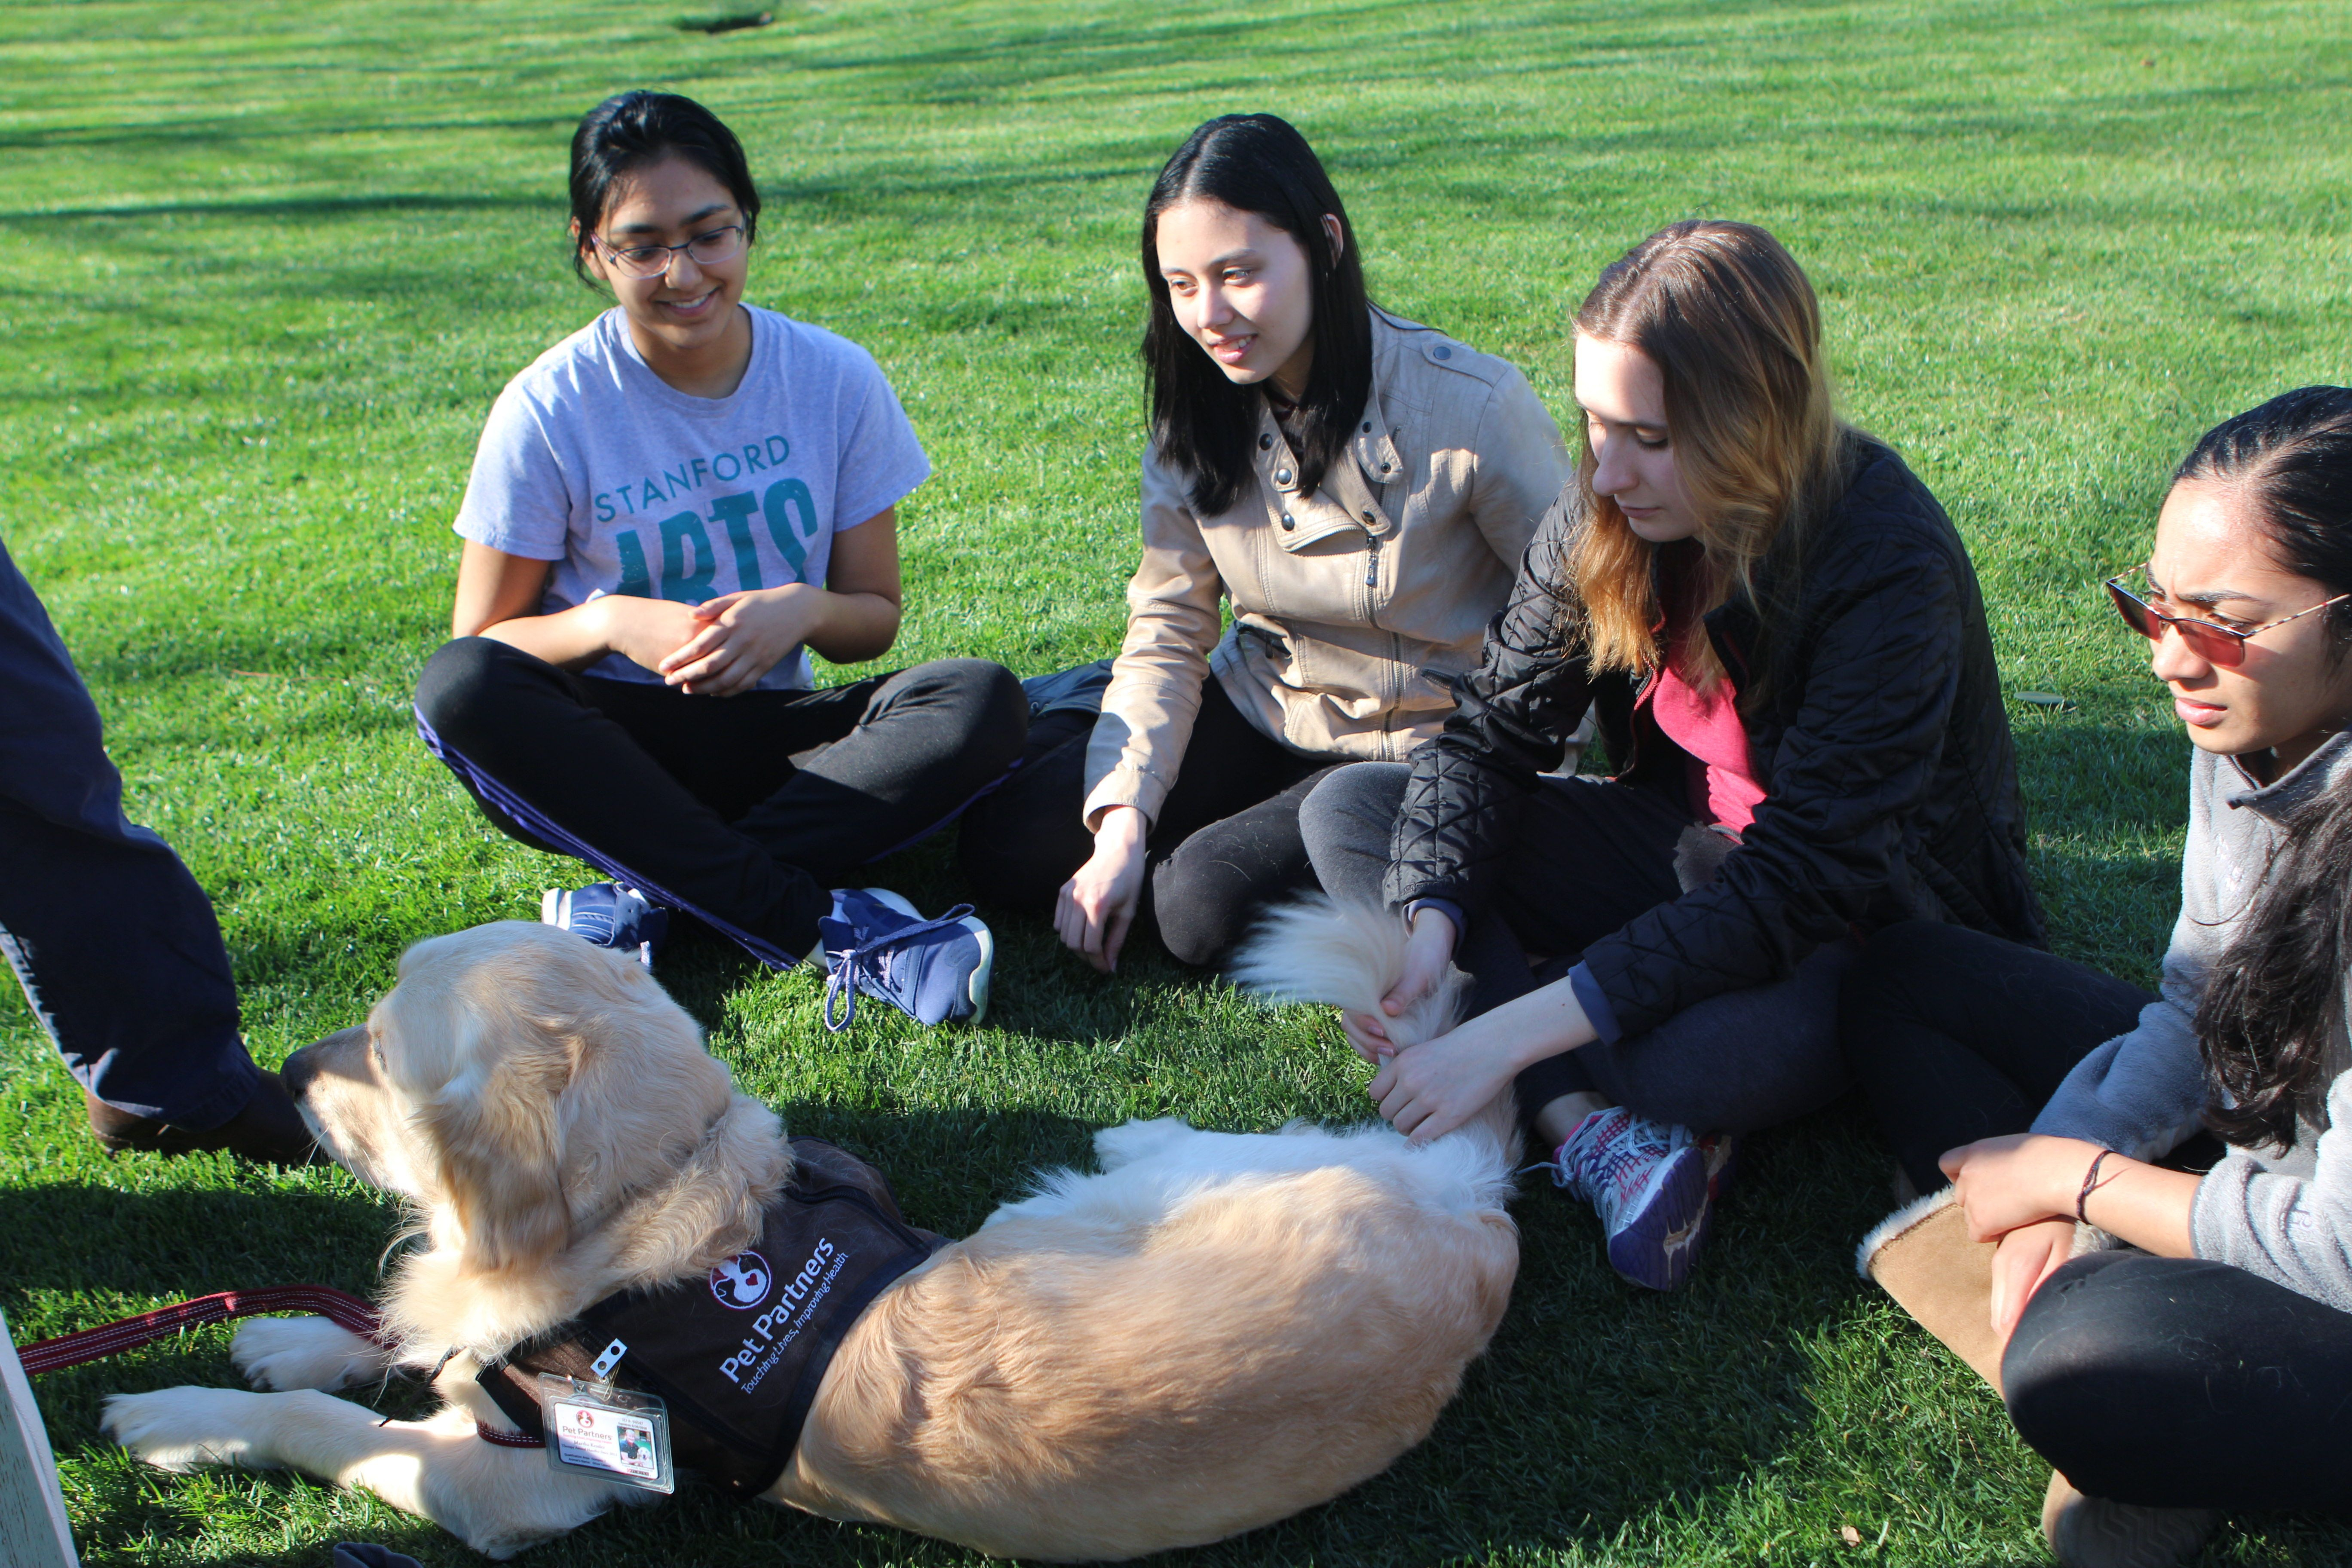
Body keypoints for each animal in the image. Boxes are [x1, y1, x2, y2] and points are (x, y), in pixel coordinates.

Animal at [101, 921, 1514, 1561]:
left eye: (385, 1052)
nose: (286, 1071)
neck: (656, 1218)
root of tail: (1480, 1214)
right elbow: (390, 1337)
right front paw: (286, 1338)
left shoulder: (516, 1490)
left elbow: (345, 1429)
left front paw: (168, 1415)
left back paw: (1126, 1131)